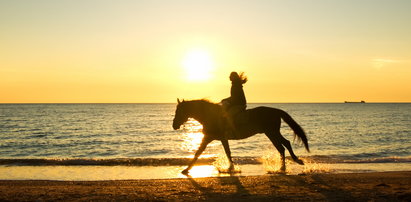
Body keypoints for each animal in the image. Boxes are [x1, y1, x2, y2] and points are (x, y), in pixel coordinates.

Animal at [171, 98, 308, 174]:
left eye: (179, 111)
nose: (174, 125)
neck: (210, 115)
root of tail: (276, 111)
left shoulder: (210, 138)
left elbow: (198, 153)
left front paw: (186, 169)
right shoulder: (219, 138)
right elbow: (225, 152)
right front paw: (231, 168)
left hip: (271, 132)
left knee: (282, 147)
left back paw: (283, 168)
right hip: (272, 132)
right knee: (285, 144)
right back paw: (293, 162)